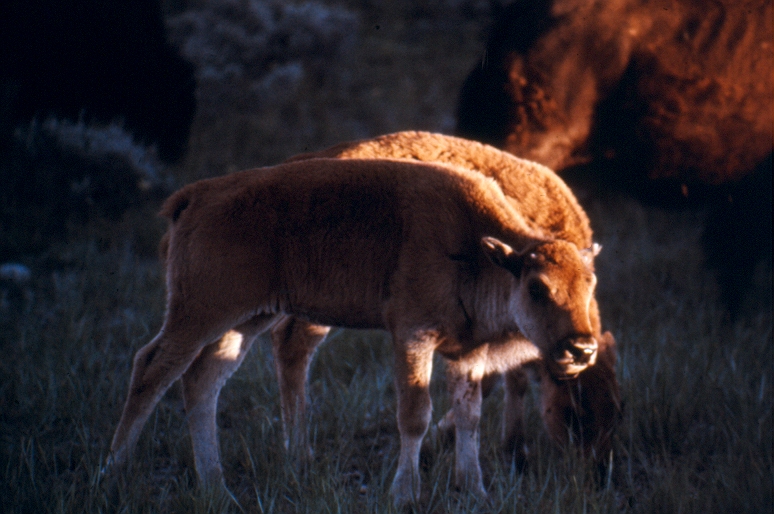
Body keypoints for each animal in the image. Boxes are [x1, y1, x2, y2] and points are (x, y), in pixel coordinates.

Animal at [106, 157, 602, 506]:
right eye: (537, 287)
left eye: (590, 283)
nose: (582, 348)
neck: (478, 249)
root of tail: (195, 195)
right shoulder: (412, 336)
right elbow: (415, 414)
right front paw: (405, 493)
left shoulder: (468, 351)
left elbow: (470, 416)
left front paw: (476, 491)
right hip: (200, 313)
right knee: (152, 369)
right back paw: (111, 473)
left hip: (245, 320)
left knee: (202, 382)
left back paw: (216, 488)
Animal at [288, 131, 621, 468]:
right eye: (576, 414)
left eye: (617, 411)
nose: (599, 467)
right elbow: (494, 382)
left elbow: (510, 381)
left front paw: (513, 449)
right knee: (296, 347)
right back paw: (300, 451)